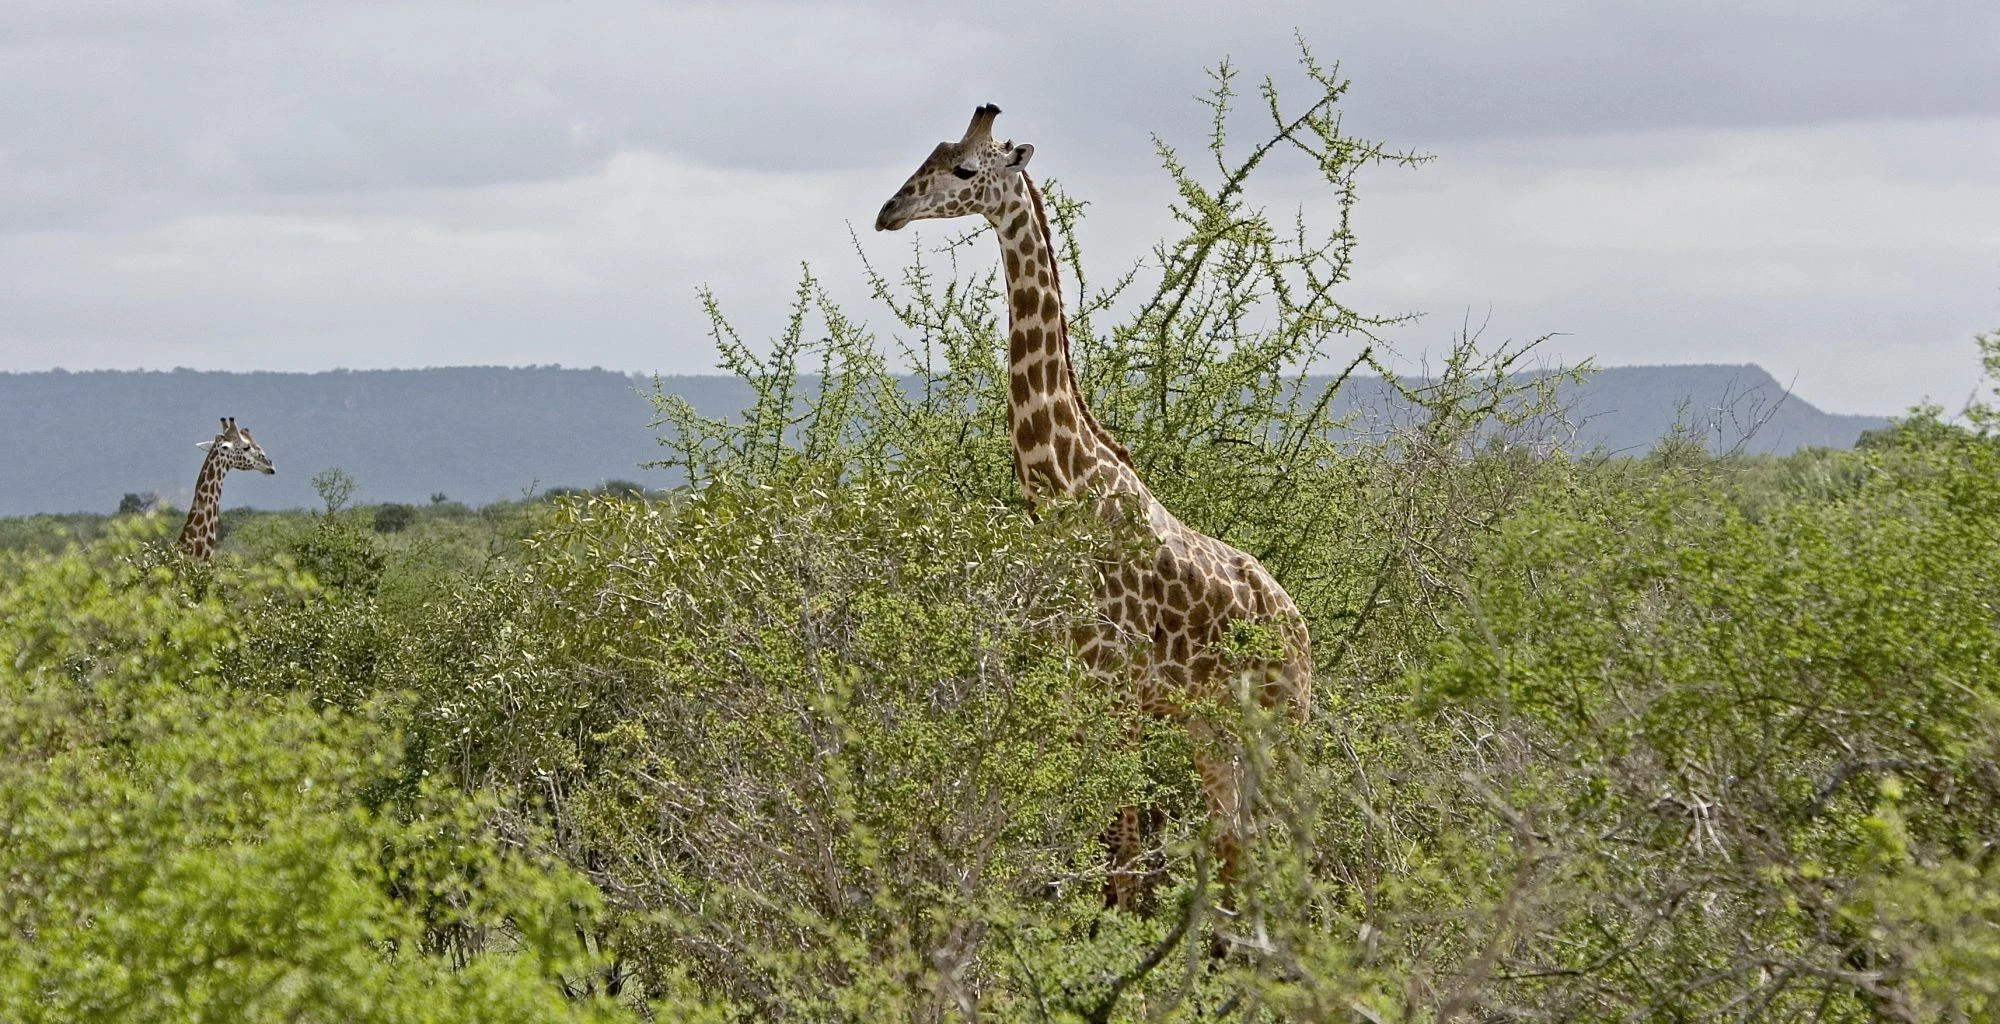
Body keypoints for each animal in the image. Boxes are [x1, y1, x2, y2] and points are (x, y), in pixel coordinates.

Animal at [876, 105, 1312, 910]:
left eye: (964, 169)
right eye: (930, 154)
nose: (889, 211)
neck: (1064, 489)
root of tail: (1302, 629)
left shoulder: (1119, 693)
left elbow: (1125, 858)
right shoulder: (1082, 692)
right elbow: (1107, 849)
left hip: (1283, 722)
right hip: (1213, 729)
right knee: (1236, 845)